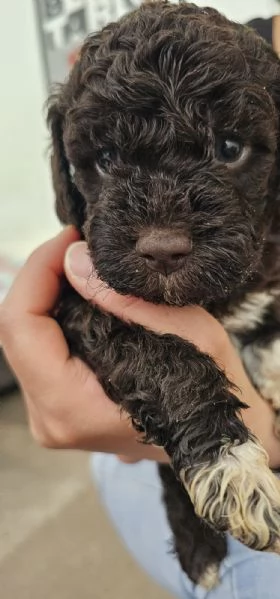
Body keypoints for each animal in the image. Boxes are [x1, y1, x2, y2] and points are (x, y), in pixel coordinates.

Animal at [47, 0, 280, 592]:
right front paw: (233, 469)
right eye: (105, 158)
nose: (163, 249)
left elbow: (268, 324)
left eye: (229, 148)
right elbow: (165, 359)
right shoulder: (82, 298)